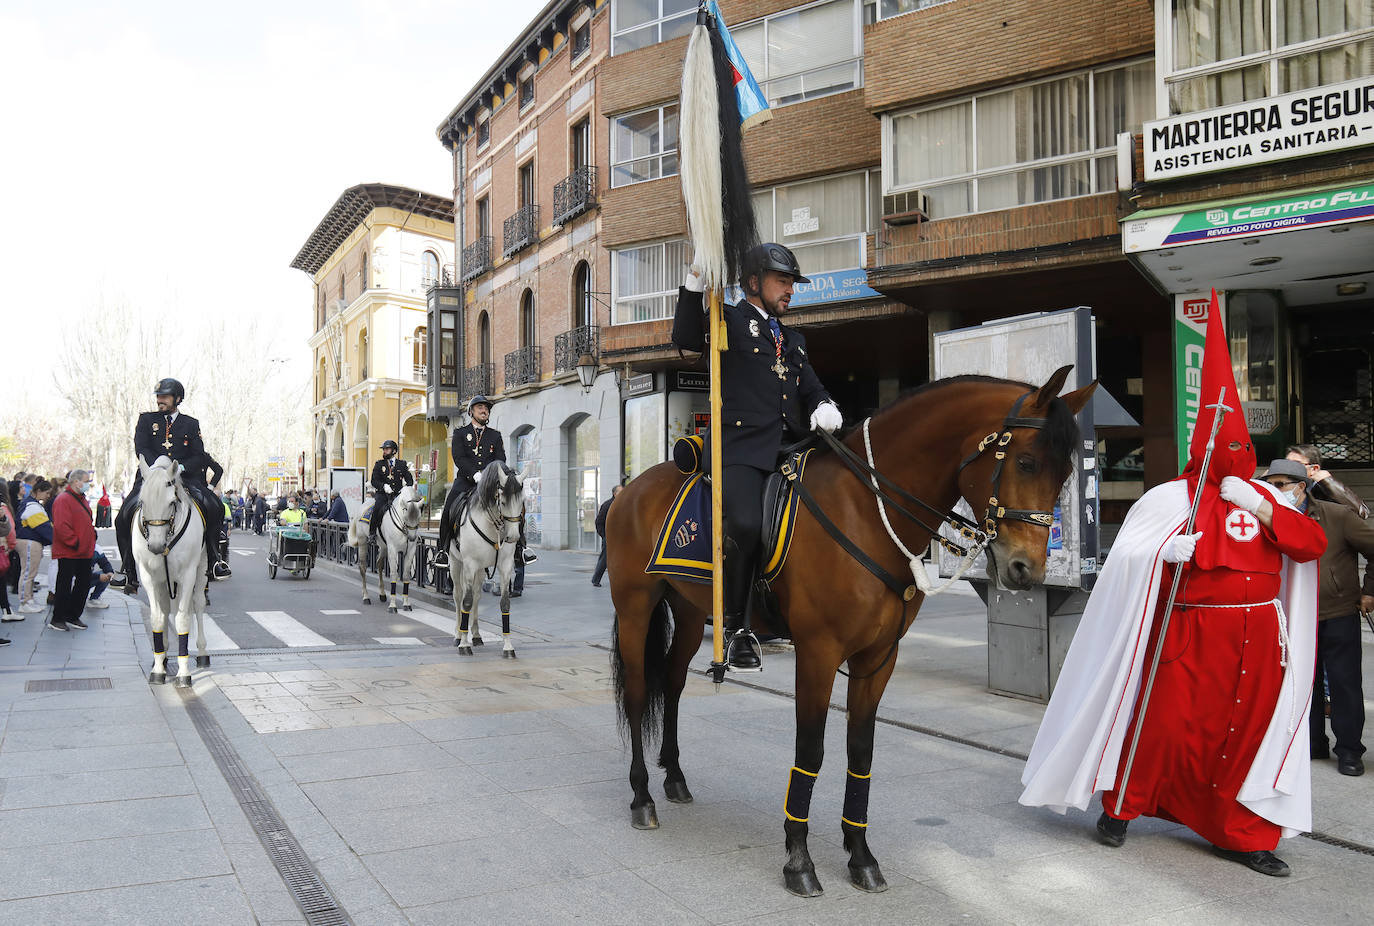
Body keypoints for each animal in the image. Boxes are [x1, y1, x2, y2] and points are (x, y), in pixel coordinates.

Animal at [131, 453, 208, 684]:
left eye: (172, 502)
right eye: (142, 502)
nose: (156, 547)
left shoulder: (188, 575)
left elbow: (182, 619)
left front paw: (183, 673)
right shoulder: (149, 576)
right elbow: (158, 617)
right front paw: (158, 668)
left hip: (202, 568)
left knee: (198, 604)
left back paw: (202, 653)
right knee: (165, 610)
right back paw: (163, 655)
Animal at [346, 480, 420, 610]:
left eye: (419, 515)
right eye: (405, 512)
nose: (411, 537)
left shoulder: (410, 550)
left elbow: (406, 575)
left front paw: (406, 603)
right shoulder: (393, 549)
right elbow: (394, 575)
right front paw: (393, 606)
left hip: (384, 547)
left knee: (379, 564)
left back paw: (382, 594)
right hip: (363, 542)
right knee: (363, 567)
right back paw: (366, 596)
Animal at [447, 461, 522, 656]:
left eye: (522, 502)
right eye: (502, 502)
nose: (513, 537)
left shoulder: (505, 565)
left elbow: (505, 603)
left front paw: (508, 646)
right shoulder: (469, 565)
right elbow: (466, 602)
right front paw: (464, 645)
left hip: (481, 569)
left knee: (477, 595)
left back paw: (476, 635)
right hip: (456, 563)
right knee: (459, 595)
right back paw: (458, 635)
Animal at [607, 365, 1099, 890]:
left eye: (1065, 474)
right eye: (1026, 463)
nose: (1027, 569)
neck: (867, 509)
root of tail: (629, 489)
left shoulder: (879, 656)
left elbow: (860, 751)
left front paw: (860, 853)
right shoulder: (818, 652)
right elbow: (811, 750)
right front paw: (799, 859)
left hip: (688, 608)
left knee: (673, 683)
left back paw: (675, 777)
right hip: (636, 608)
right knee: (638, 693)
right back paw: (642, 797)